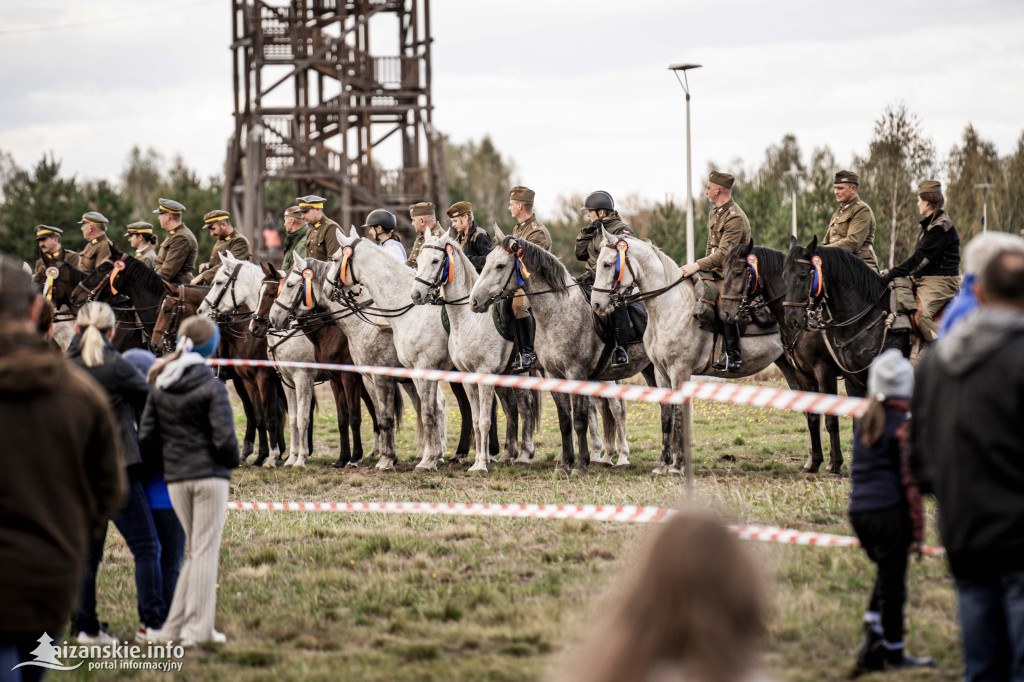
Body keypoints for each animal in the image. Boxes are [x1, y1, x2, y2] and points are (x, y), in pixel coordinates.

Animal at [193, 250, 317, 466]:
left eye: (218, 282)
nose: (201, 311)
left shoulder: (271, 379)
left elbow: (272, 417)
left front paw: (274, 457)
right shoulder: (253, 380)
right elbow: (261, 417)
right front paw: (264, 456)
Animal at [407, 231, 540, 471]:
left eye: (435, 261)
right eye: (419, 260)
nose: (416, 295)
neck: (468, 319)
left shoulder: (484, 373)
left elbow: (485, 420)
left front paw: (480, 465)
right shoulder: (468, 377)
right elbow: (477, 421)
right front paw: (480, 460)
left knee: (526, 406)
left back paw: (525, 455)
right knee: (514, 408)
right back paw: (510, 454)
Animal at [468, 225, 651, 471]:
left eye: (500, 265)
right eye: (487, 261)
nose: (474, 301)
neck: (559, 311)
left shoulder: (576, 373)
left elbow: (580, 419)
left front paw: (581, 464)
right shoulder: (553, 375)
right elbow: (565, 421)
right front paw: (565, 463)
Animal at [585, 231, 782, 475]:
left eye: (607, 264)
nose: (596, 305)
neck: (670, 308)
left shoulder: (680, 371)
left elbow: (679, 414)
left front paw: (678, 466)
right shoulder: (661, 373)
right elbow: (666, 414)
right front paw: (663, 465)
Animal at [724, 238, 851, 473]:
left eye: (738, 272)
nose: (726, 312)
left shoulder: (825, 372)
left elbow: (831, 418)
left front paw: (835, 463)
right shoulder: (803, 374)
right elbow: (812, 415)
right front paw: (816, 462)